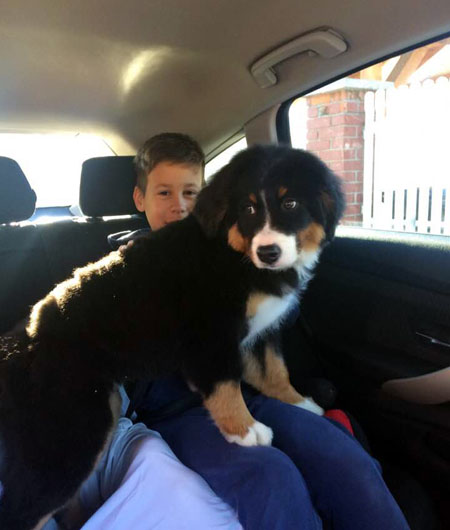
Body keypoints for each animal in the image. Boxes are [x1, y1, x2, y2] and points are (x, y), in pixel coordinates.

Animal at [0, 144, 344, 529]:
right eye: (248, 208)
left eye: (290, 203)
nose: (268, 252)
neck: (235, 255)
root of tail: (16, 345)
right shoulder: (210, 337)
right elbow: (226, 387)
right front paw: (245, 431)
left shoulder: (261, 332)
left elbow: (274, 371)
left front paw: (300, 402)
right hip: (69, 433)